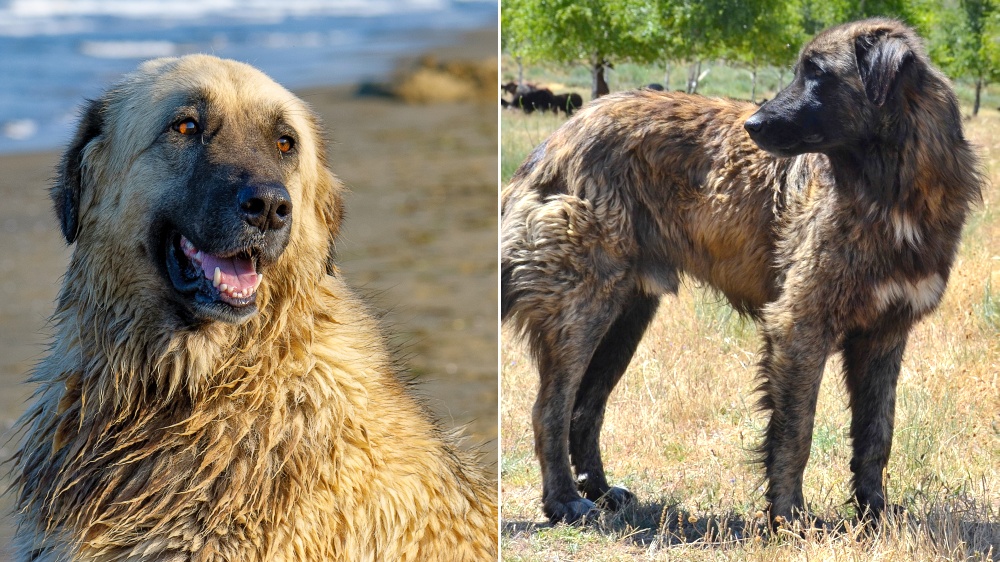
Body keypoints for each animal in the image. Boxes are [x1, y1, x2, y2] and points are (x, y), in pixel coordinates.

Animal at [504, 18, 980, 524]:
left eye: (817, 73)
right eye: (802, 69)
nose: (752, 125)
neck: (893, 187)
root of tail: (553, 144)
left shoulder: (885, 335)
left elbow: (876, 435)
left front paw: (874, 514)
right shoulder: (799, 327)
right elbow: (796, 433)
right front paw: (789, 518)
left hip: (625, 318)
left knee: (585, 409)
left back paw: (599, 489)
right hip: (583, 311)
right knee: (550, 410)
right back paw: (563, 500)